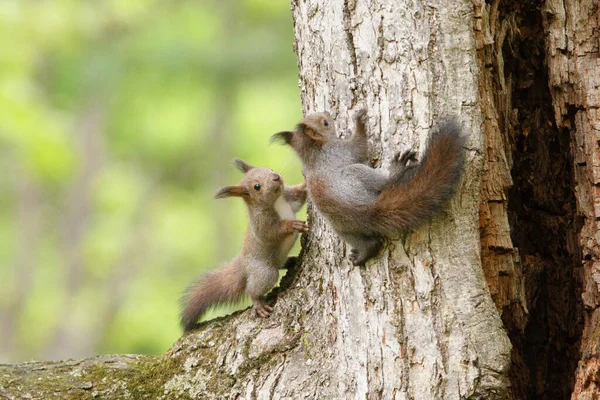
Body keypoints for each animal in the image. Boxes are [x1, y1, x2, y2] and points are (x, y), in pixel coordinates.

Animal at [179, 158, 308, 332]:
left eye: (269, 168)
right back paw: (259, 304)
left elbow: (299, 196)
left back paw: (292, 260)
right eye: (257, 186)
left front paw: (307, 181)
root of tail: (243, 264)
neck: (276, 201)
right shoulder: (261, 224)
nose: (276, 177)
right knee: (253, 289)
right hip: (263, 272)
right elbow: (271, 233)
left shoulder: (288, 197)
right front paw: (291, 225)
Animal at [272, 109, 464, 266]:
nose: (327, 112)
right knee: (384, 183)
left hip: (343, 228)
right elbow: (359, 146)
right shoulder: (341, 150)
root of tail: (367, 211)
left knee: (367, 242)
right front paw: (359, 122)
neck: (312, 153)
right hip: (357, 173)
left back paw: (363, 253)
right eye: (325, 123)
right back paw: (396, 170)